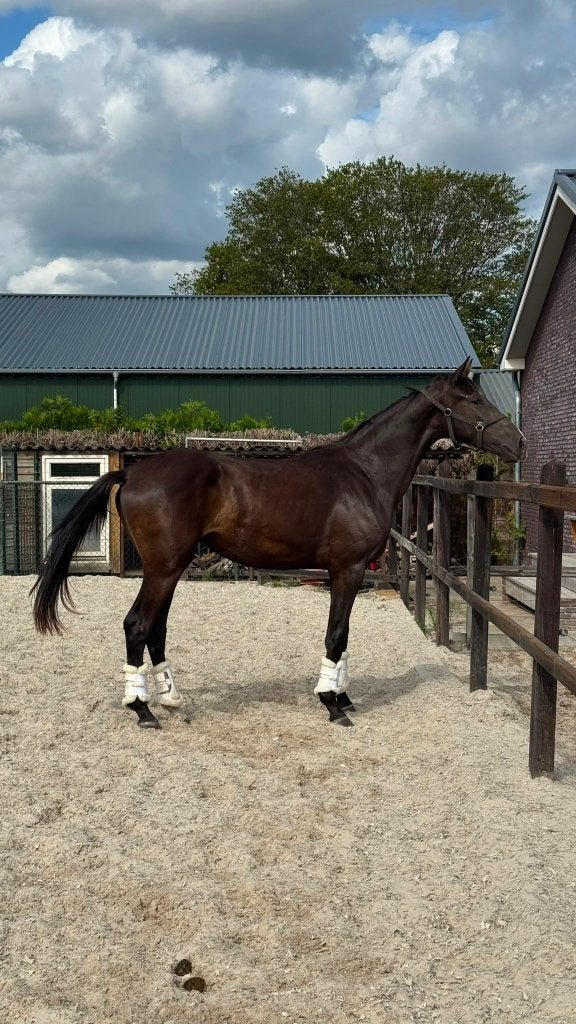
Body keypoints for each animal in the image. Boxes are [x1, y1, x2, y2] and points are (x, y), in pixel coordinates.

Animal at [32, 358, 526, 729]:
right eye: (474, 399)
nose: (518, 442)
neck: (364, 473)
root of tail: (133, 472)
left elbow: (344, 636)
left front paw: (343, 695)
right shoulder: (346, 570)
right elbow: (336, 634)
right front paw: (332, 703)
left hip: (170, 570)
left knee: (156, 628)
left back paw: (169, 697)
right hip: (163, 567)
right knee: (137, 625)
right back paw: (142, 709)